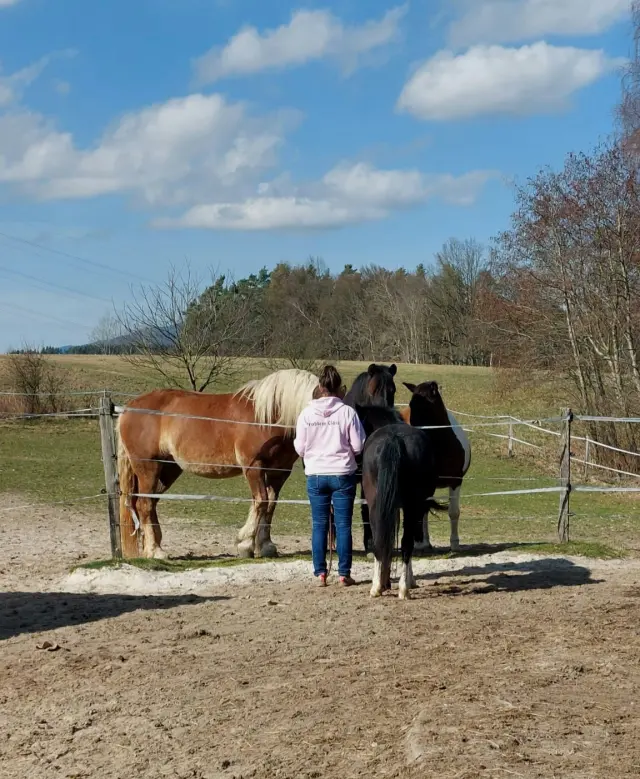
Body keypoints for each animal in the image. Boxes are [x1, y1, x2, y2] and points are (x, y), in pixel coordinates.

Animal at [116, 369, 319, 560]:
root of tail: (129, 407)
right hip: (148, 467)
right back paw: (155, 550)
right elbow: (261, 502)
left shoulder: (279, 471)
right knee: (144, 504)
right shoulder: (254, 467)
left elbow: (270, 505)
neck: (270, 417)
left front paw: (265, 546)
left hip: (167, 470)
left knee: (149, 503)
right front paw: (244, 544)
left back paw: (151, 548)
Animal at [361, 422, 447, 599]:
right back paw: (403, 589)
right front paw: (409, 580)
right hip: (412, 507)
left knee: (379, 541)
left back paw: (376, 587)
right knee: (406, 543)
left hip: (375, 506)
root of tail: (394, 438)